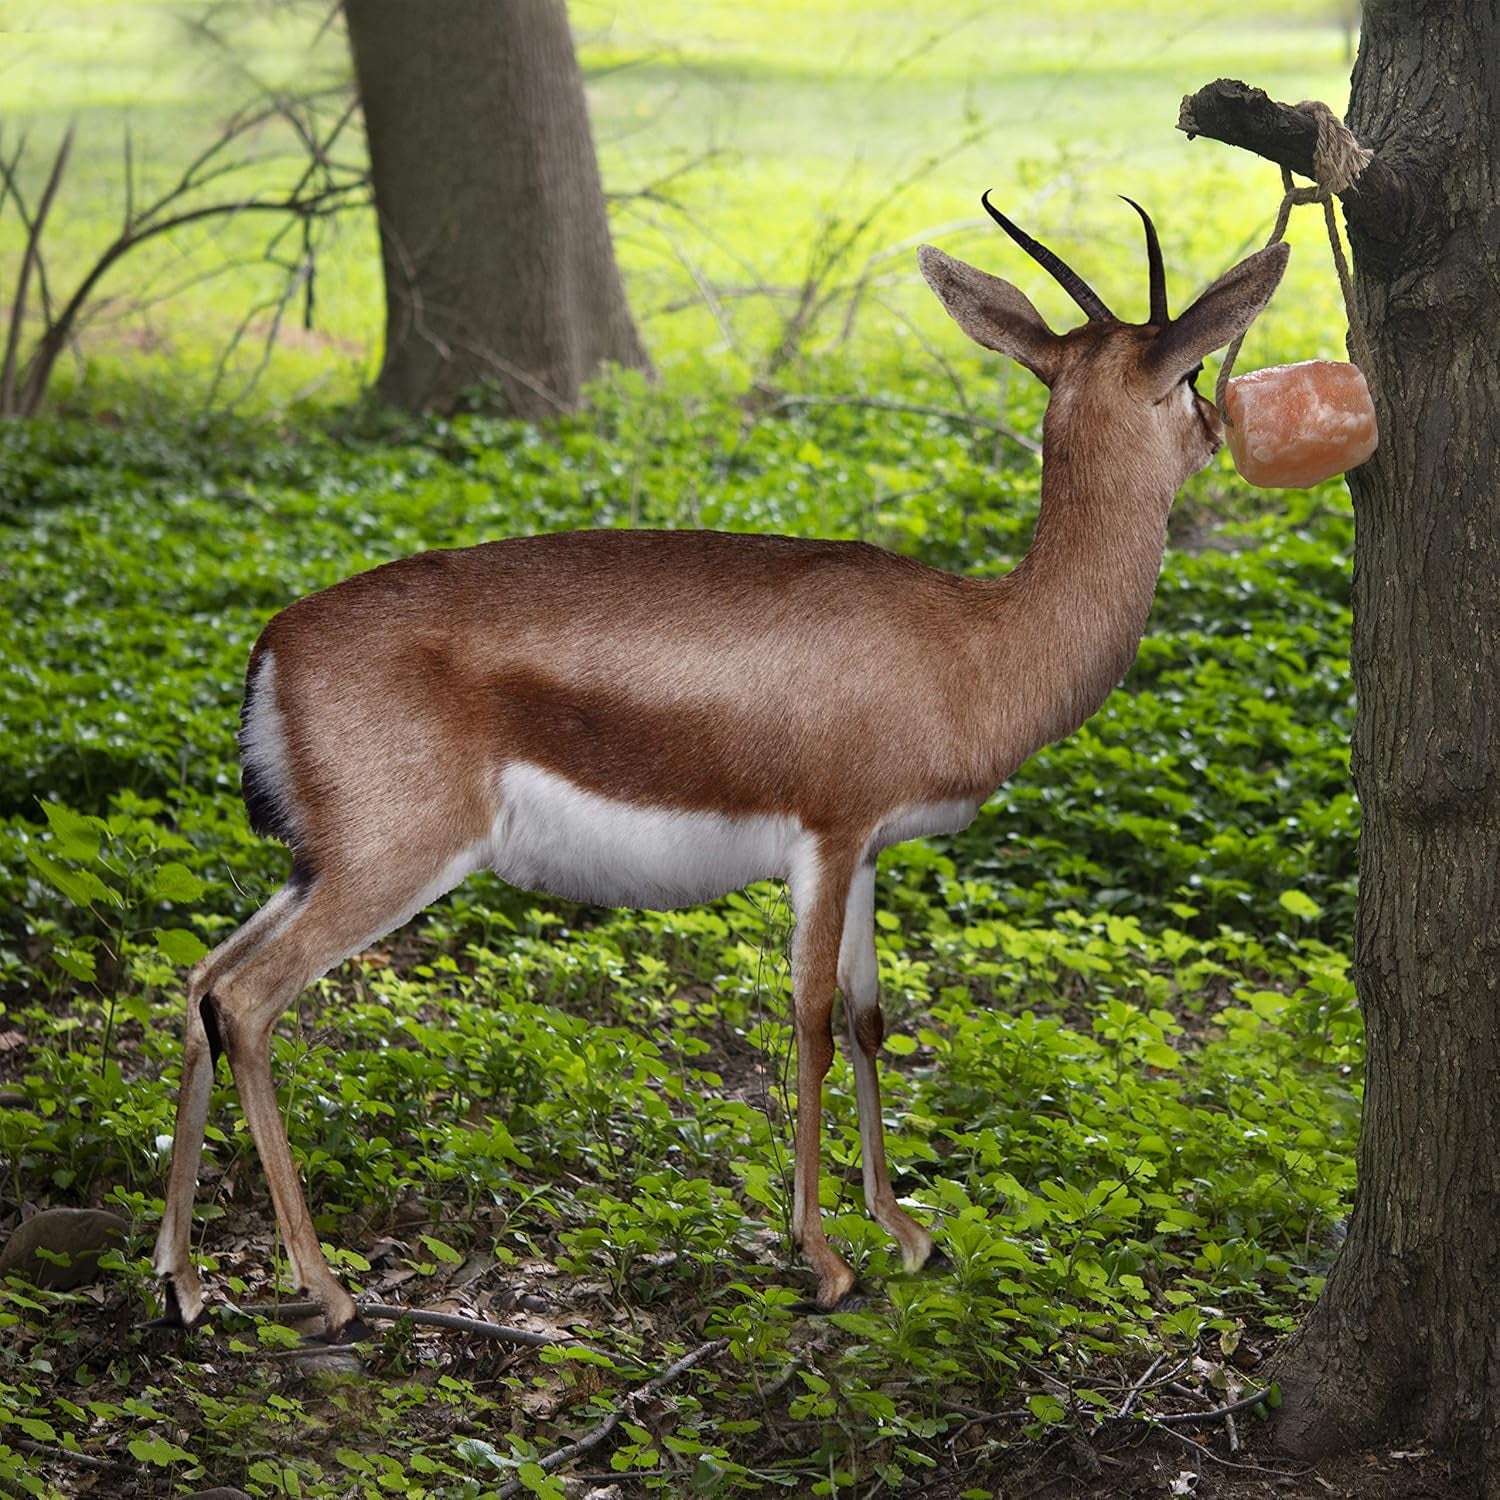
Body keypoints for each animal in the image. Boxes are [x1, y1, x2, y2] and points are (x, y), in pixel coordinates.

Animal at [151, 194, 1288, 1341]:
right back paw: (325, 1286)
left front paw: (907, 1233)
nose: (1220, 431)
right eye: (1190, 372)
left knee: (199, 980)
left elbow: (872, 1020)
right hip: (391, 865)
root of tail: (273, 644)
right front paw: (826, 1260)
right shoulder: (827, 836)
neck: (976, 642)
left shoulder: (868, 852)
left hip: (313, 866)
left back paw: (185, 1281)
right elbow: (813, 1022)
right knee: (245, 1000)